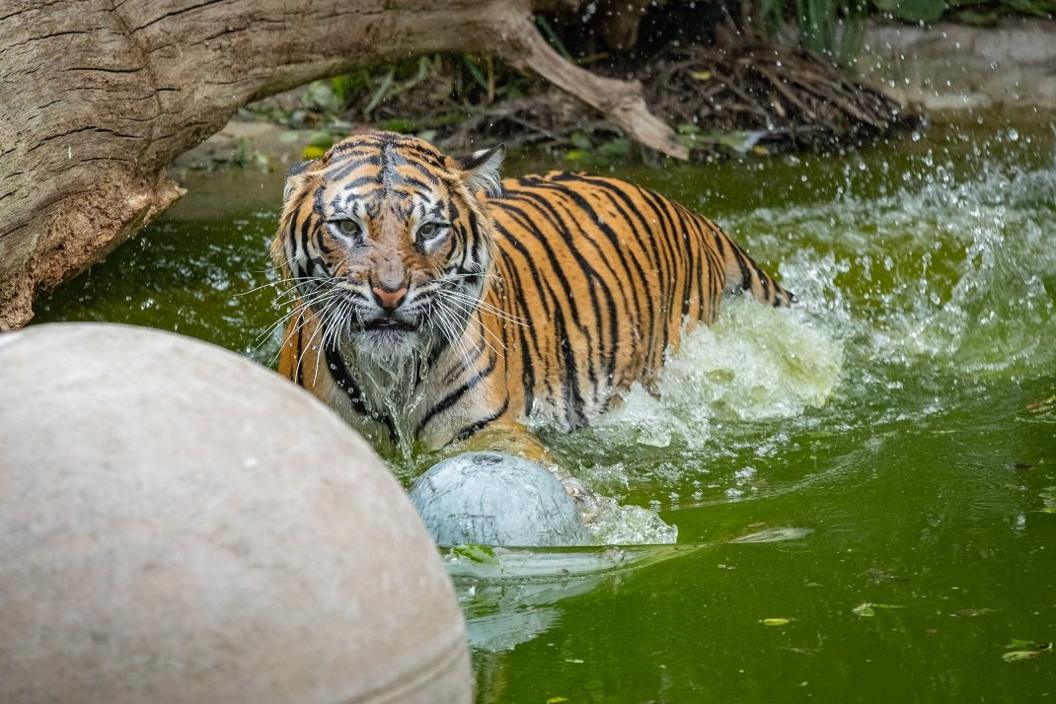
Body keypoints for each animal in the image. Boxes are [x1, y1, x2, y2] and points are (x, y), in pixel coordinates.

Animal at [272, 133, 794, 458]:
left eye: (430, 230)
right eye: (347, 227)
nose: (390, 292)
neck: (390, 375)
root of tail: (693, 217)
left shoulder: (488, 427)